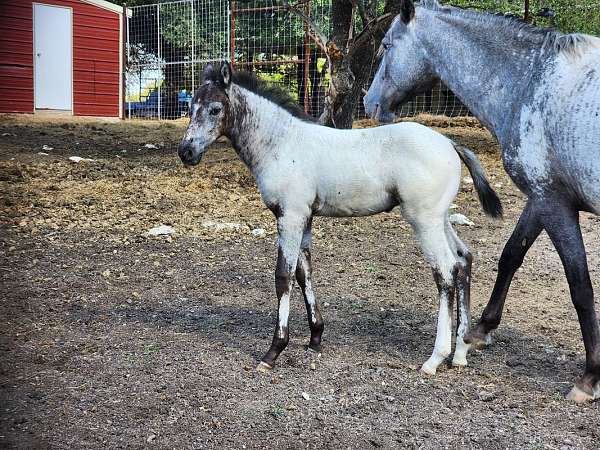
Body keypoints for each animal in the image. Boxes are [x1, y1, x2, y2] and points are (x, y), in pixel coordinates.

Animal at [179, 60, 502, 376]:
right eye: (191, 107)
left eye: (215, 109)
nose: (186, 151)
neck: (281, 143)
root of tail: (450, 143)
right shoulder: (305, 217)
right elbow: (304, 272)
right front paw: (315, 338)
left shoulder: (290, 215)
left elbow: (283, 276)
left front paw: (274, 350)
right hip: (440, 217)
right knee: (463, 259)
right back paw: (460, 353)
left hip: (423, 220)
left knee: (445, 271)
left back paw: (435, 358)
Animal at [364, 0, 600, 400]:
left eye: (385, 45)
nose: (369, 102)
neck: (532, 81)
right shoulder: (541, 199)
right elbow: (511, 256)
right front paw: (479, 330)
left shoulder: (554, 203)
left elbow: (580, 286)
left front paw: (590, 377)